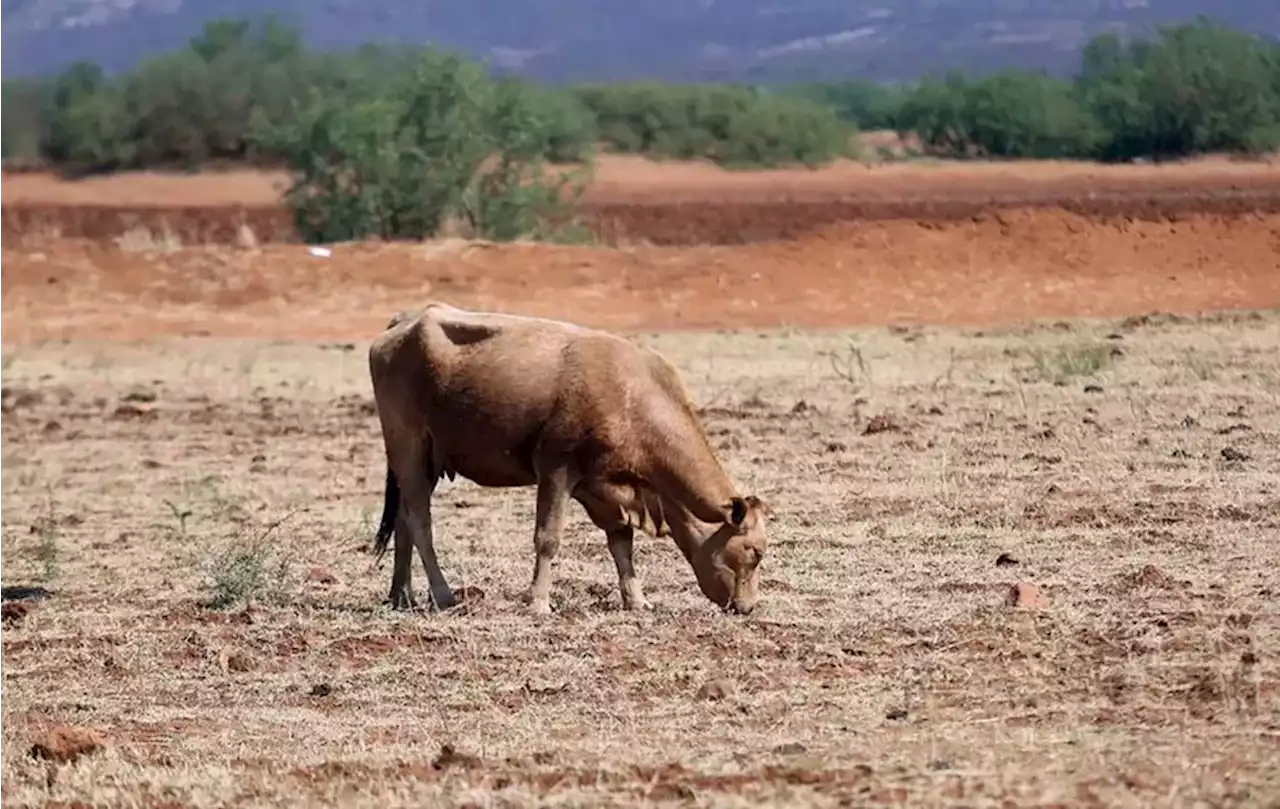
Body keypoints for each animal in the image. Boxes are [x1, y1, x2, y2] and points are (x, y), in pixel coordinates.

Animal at [371, 302, 768, 611]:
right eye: (754, 551)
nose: (748, 607)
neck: (632, 395)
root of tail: (406, 321)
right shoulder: (556, 468)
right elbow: (548, 538)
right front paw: (538, 602)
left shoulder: (603, 486)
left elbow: (621, 542)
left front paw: (637, 600)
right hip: (408, 446)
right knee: (420, 522)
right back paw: (443, 594)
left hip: (426, 461)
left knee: (404, 520)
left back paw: (402, 595)